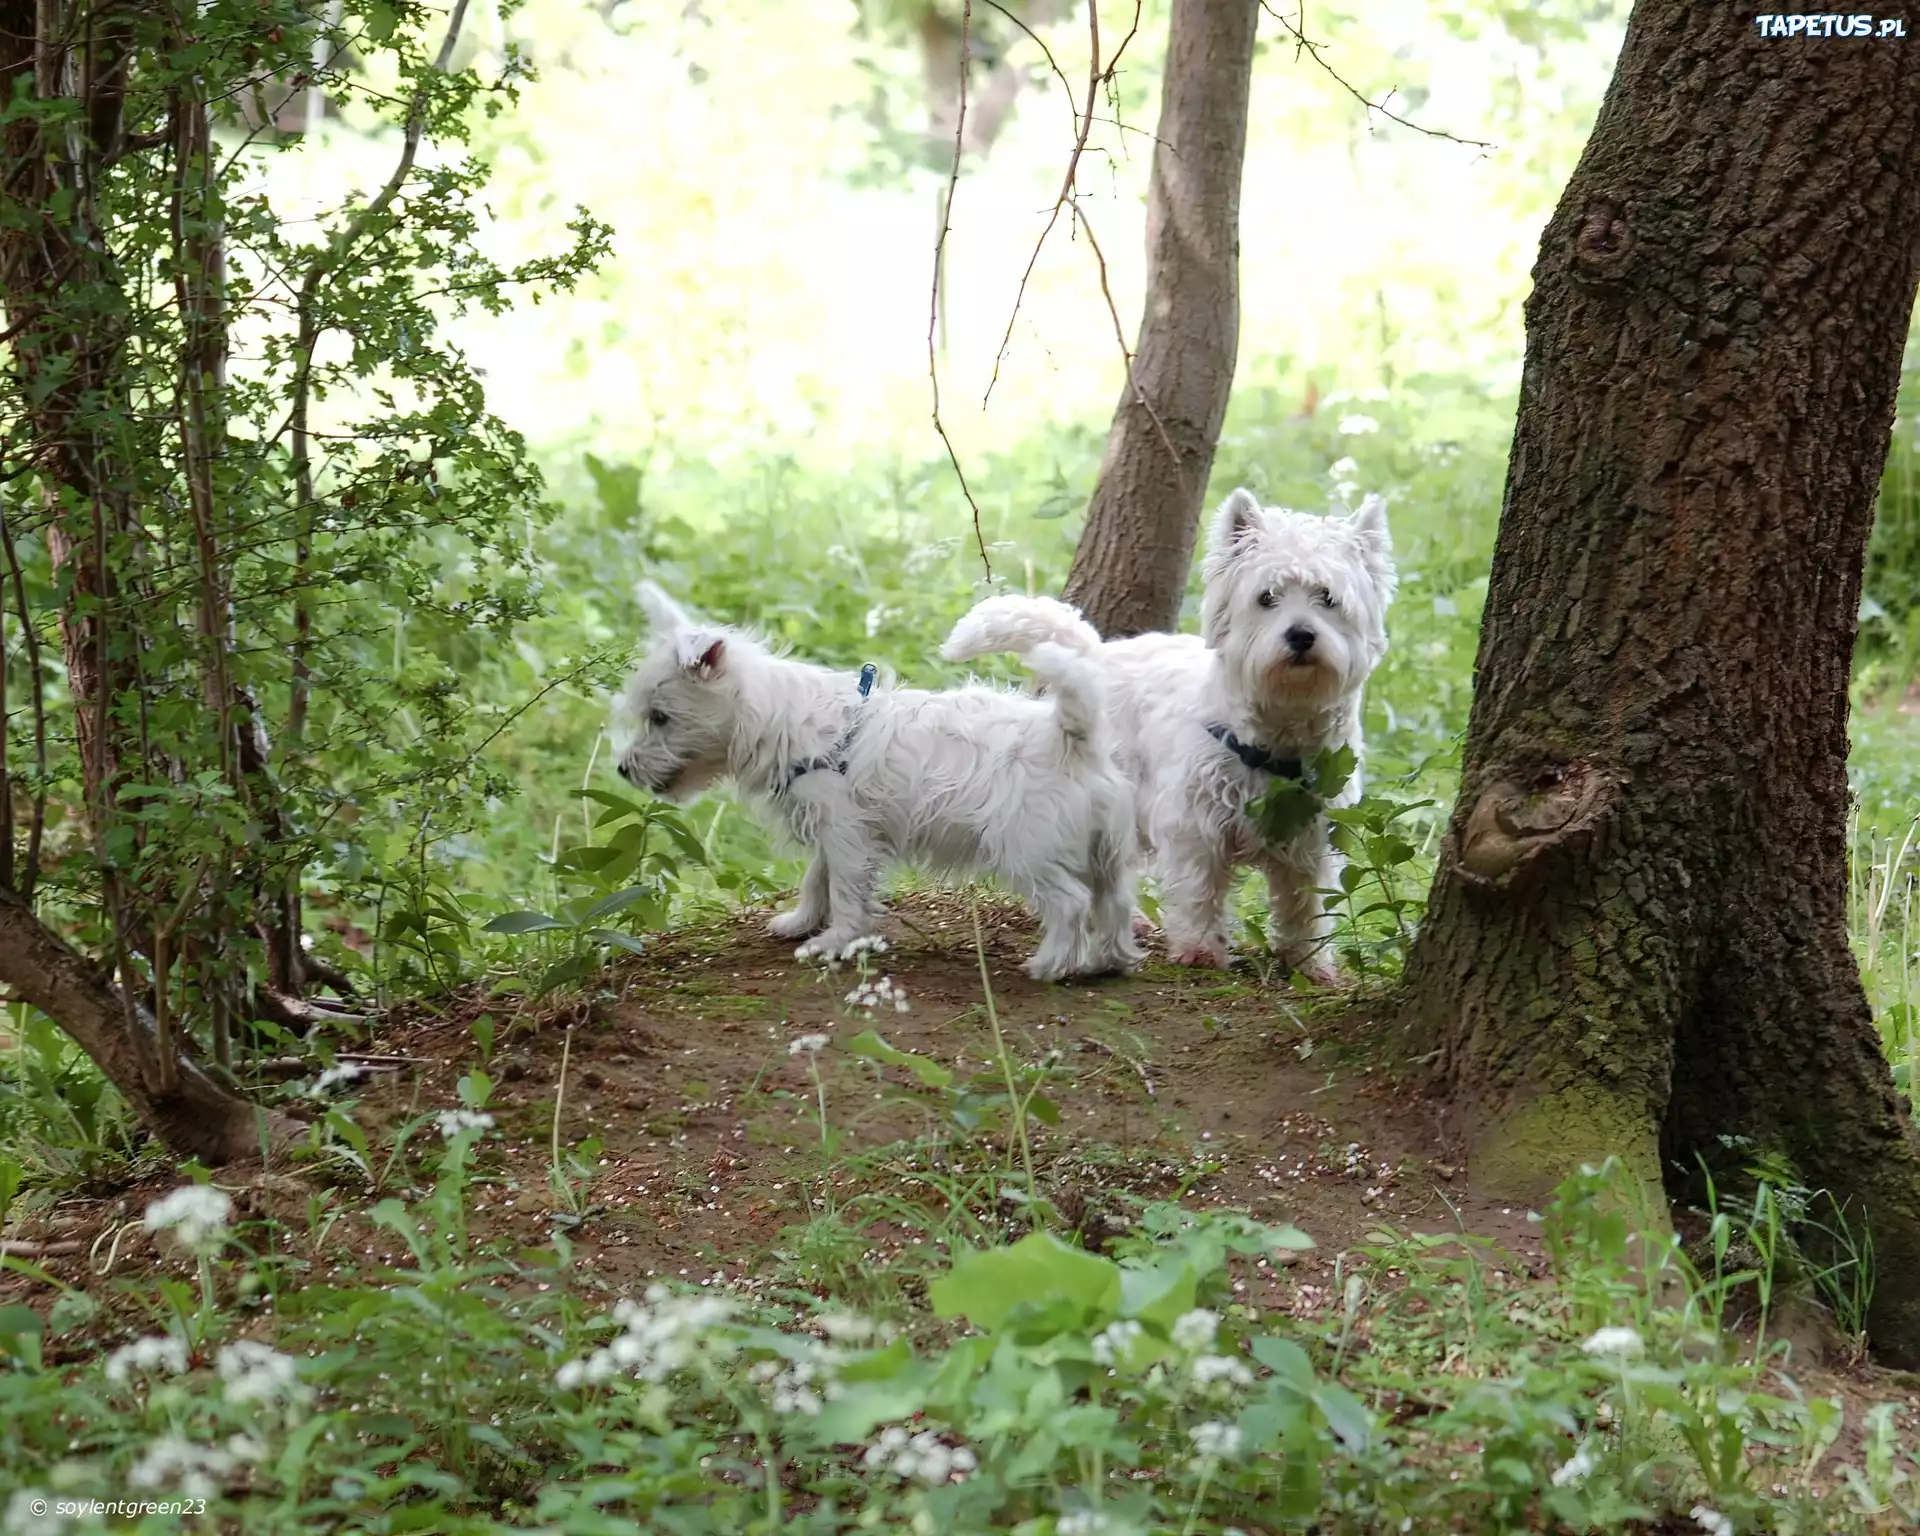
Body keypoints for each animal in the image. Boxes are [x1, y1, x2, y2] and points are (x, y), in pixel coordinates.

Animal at [614, 583, 1136, 979]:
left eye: (659, 717)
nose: (623, 769)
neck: (782, 720)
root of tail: (1073, 738)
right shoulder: (834, 830)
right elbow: (816, 879)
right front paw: (801, 922)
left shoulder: (848, 833)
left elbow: (844, 891)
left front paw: (834, 941)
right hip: (1104, 854)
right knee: (1115, 904)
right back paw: (1106, 962)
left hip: (1027, 852)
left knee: (1071, 904)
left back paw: (1050, 965)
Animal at [948, 485, 1390, 979]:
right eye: (1267, 597)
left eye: (1328, 598)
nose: (1300, 636)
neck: (1280, 729)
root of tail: (1094, 654)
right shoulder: (1195, 825)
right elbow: (1200, 889)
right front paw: (1200, 949)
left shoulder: (1314, 838)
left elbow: (1307, 904)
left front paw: (1311, 963)